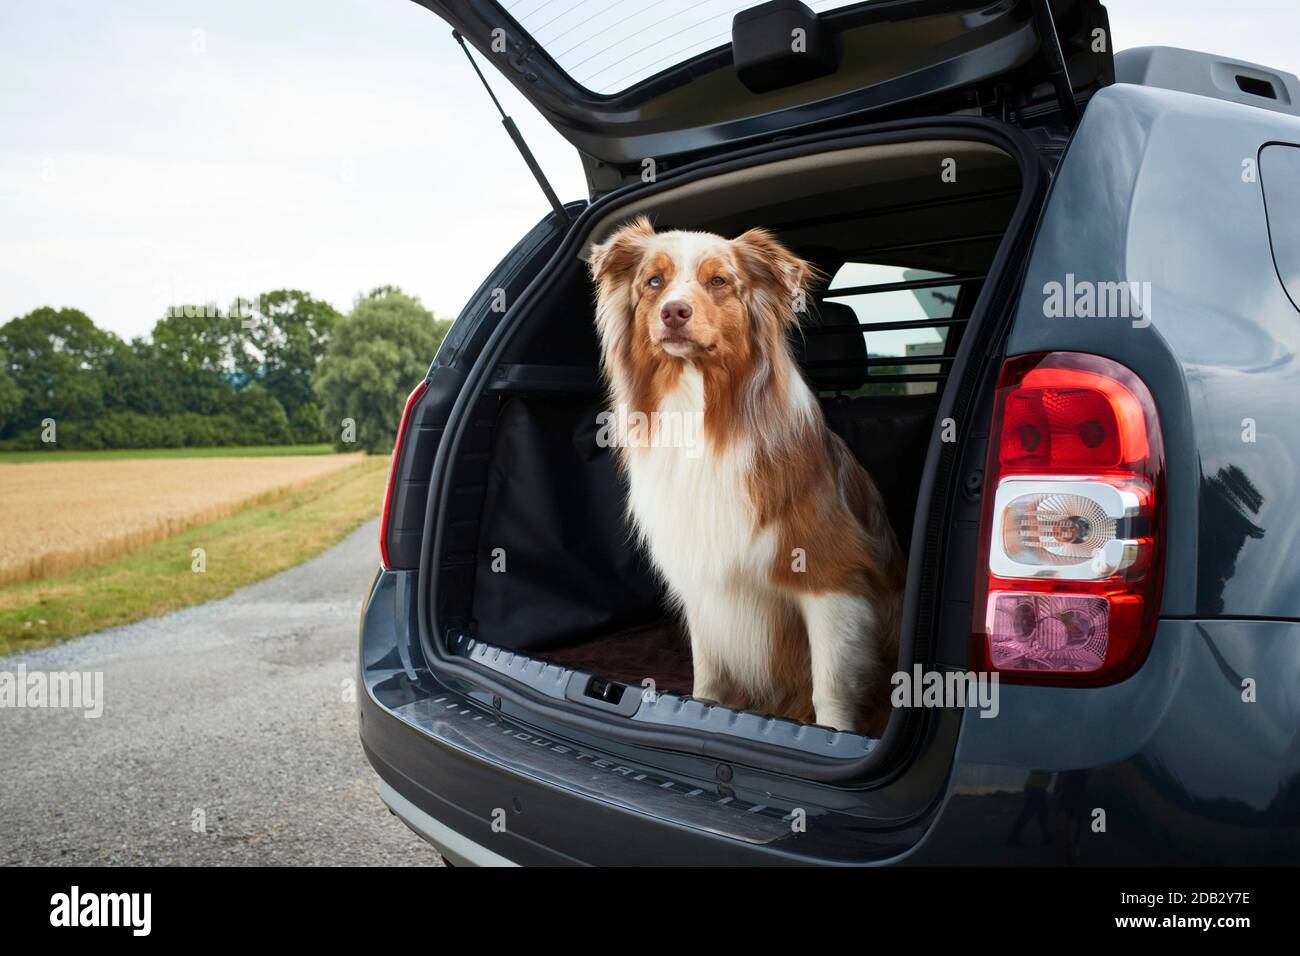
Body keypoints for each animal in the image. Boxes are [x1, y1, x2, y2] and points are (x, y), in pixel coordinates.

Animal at [590, 217, 904, 738]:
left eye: (719, 281)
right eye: (654, 282)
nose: (674, 311)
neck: (697, 408)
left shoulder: (833, 581)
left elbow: (831, 689)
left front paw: (833, 737)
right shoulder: (702, 585)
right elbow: (709, 678)